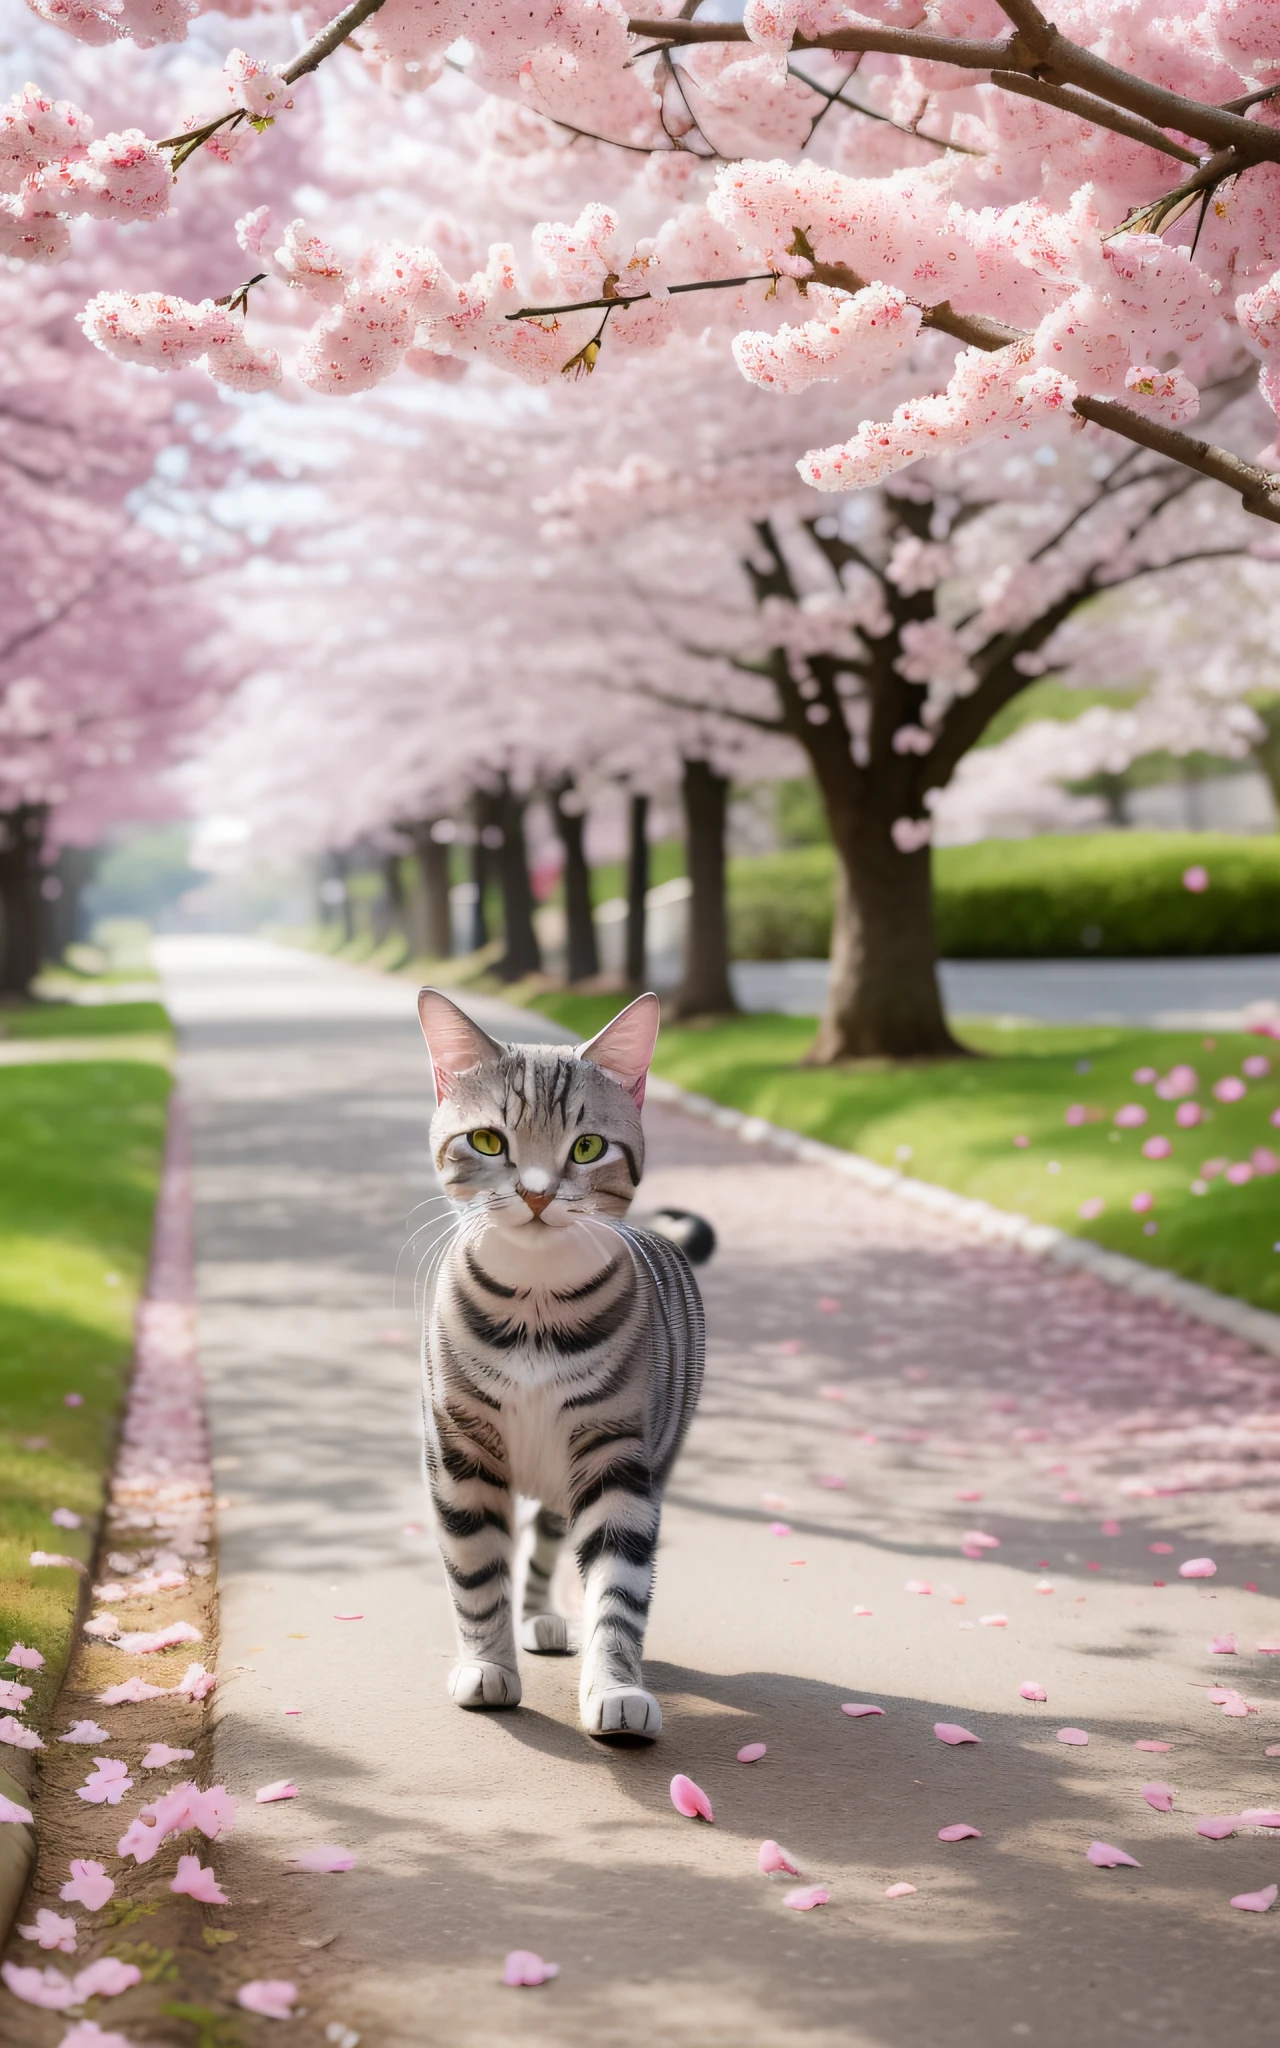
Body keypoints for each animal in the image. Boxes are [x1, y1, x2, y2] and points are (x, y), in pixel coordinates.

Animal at [413, 991, 704, 1744]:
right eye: (489, 1141)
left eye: (587, 1147)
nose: (539, 1194)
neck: (536, 1308)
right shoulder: (458, 1448)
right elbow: (476, 1570)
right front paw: (487, 1666)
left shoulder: (618, 1453)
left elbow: (618, 1587)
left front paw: (616, 1686)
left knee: (550, 1541)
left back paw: (546, 1616)